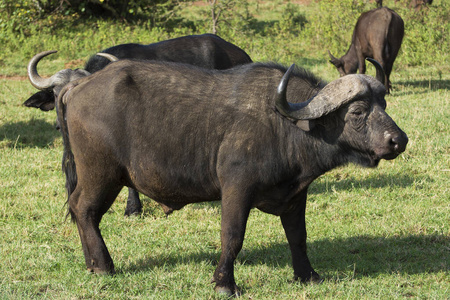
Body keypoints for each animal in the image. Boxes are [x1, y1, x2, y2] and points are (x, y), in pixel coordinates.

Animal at [53, 58, 408, 296]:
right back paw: (103, 265)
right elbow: (232, 236)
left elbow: (298, 236)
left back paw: (91, 261)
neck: (285, 125)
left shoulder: (296, 195)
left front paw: (308, 275)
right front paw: (225, 283)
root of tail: (76, 86)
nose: (398, 140)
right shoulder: (237, 189)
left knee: (83, 211)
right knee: (84, 208)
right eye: (358, 111)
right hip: (101, 174)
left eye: (383, 103)